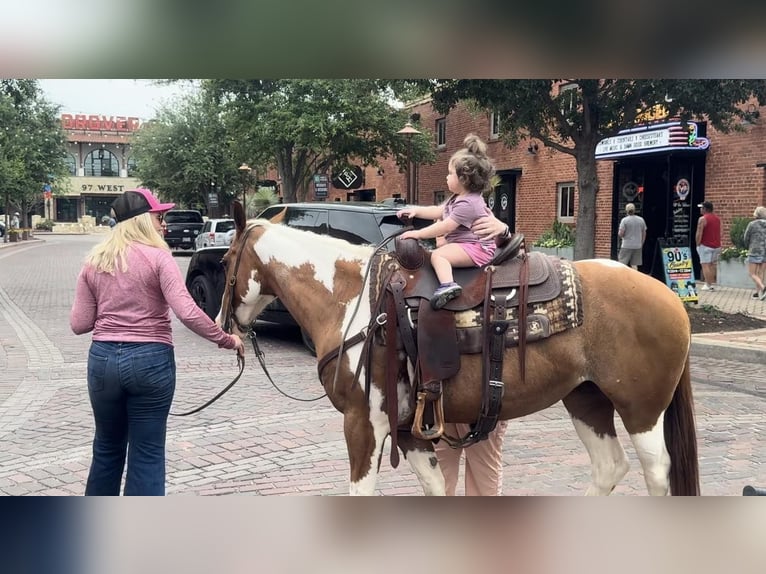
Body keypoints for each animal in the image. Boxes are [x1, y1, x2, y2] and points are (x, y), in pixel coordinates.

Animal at [220, 205, 704, 498]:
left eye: (225, 261)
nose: (226, 324)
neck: (351, 299)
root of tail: (669, 294)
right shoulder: (410, 429)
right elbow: (438, 487)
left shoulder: (364, 423)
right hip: (586, 399)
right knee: (609, 468)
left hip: (641, 409)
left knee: (655, 473)